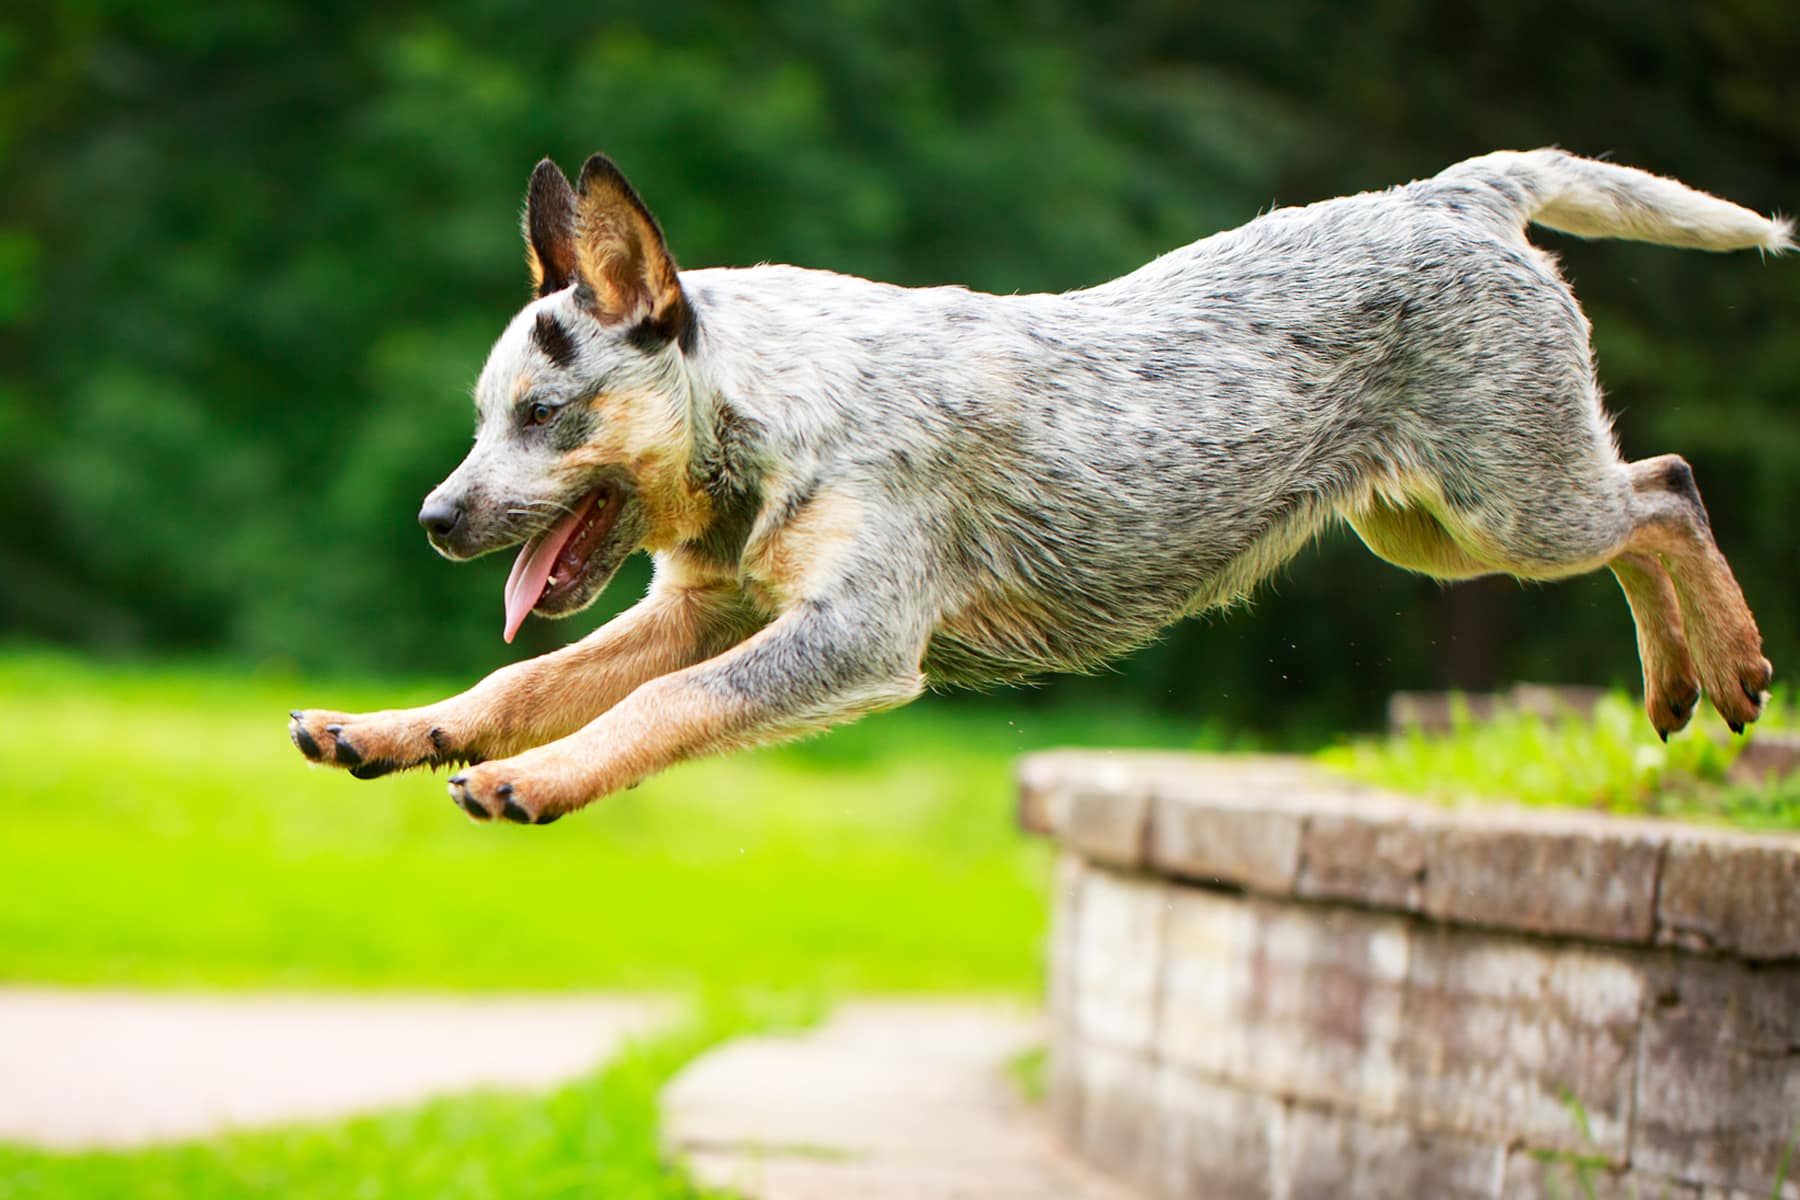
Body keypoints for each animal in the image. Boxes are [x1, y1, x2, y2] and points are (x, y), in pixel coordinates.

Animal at [288, 147, 1792, 827]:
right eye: (482, 418)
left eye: (542, 414)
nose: (434, 519)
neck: (778, 419)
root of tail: (1457, 193)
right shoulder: (704, 609)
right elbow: (525, 679)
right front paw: (395, 730)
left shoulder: (851, 639)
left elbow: (656, 707)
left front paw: (530, 783)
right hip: (1427, 527)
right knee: (1650, 498)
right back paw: (1685, 683)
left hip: (1509, 505)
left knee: (1664, 491)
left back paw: (1724, 665)